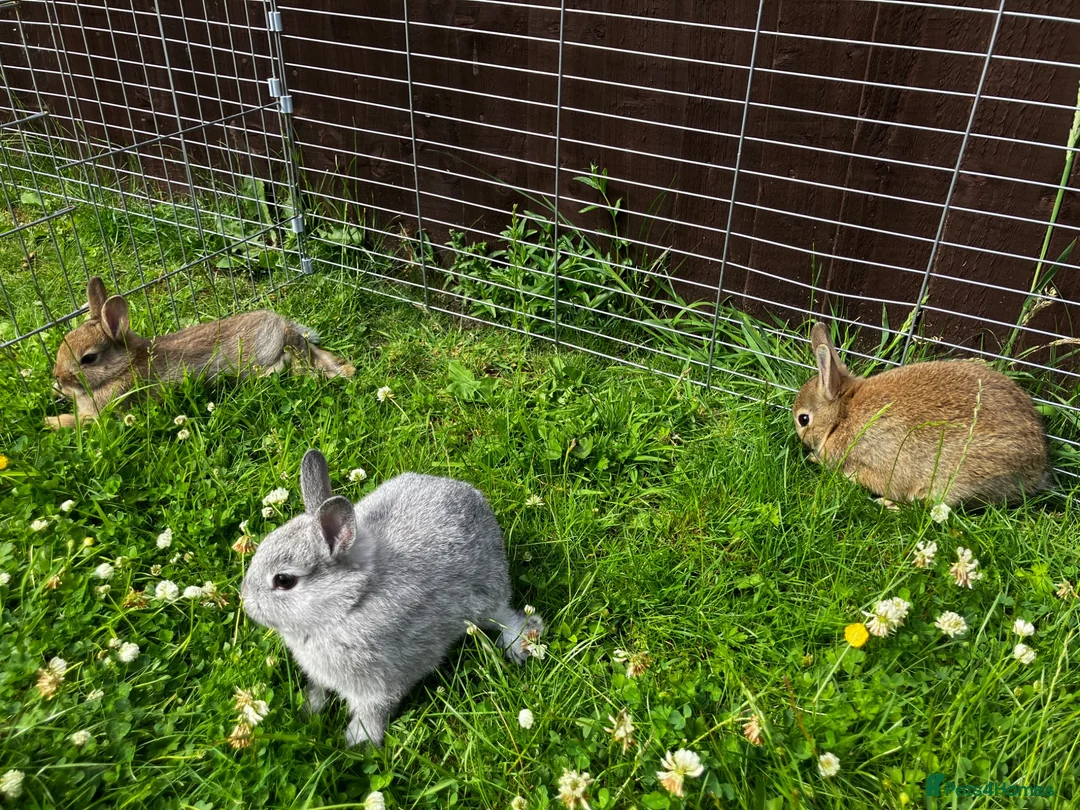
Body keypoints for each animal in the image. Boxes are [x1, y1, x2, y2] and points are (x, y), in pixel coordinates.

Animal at [47, 276, 355, 429]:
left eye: (89, 359)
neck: (124, 366)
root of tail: (280, 323)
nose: (58, 378)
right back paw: (345, 368)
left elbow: (81, 422)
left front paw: (51, 423)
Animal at [240, 449, 545, 747]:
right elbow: (318, 691)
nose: (246, 602)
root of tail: (476, 500)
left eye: (284, 580)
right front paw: (308, 713)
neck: (349, 602)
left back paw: (520, 643)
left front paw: (358, 743)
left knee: (506, 617)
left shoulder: (378, 685)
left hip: (487, 598)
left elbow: (372, 713)